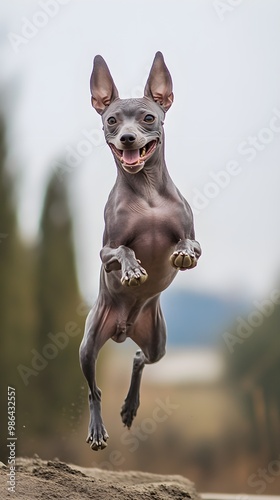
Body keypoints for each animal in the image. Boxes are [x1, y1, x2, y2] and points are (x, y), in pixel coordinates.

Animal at [79, 52, 201, 452]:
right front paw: (133, 270)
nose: (128, 137)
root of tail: (123, 329)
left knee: (138, 358)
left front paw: (183, 256)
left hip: (157, 341)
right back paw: (98, 429)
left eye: (148, 117)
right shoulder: (106, 252)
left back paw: (130, 406)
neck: (147, 193)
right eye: (112, 120)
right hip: (90, 344)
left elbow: (189, 244)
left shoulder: (193, 235)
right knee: (94, 390)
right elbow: (122, 251)